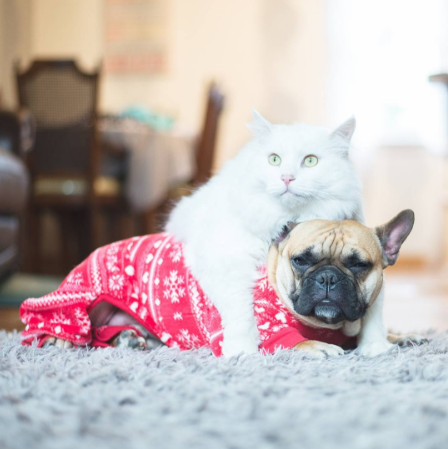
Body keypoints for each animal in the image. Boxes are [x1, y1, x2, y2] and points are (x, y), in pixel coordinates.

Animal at [166, 113, 366, 356]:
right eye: (274, 160)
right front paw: (242, 351)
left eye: (310, 161)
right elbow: (239, 308)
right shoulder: (223, 261)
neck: (284, 222)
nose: (286, 178)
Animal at [268, 207, 426, 356]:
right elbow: (294, 340)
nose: (327, 277)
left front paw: (401, 337)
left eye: (358, 264)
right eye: (300, 261)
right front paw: (319, 346)